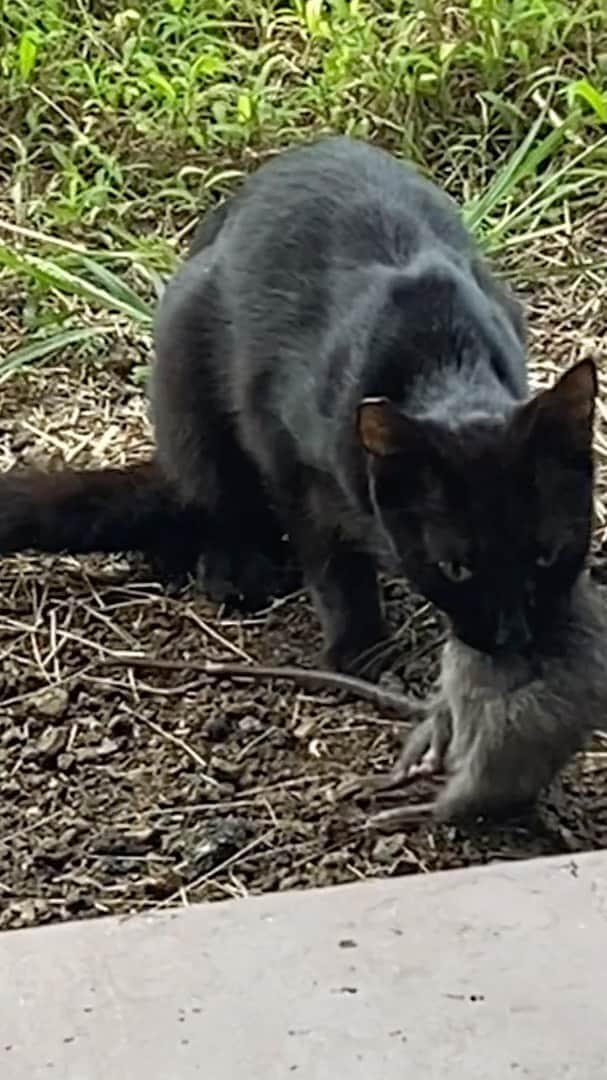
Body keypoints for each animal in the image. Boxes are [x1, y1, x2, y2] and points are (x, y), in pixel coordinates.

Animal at [0, 137, 596, 673]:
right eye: (455, 568)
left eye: (546, 553)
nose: (515, 634)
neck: (441, 358)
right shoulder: (285, 454)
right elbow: (330, 560)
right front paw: (360, 648)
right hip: (186, 374)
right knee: (214, 497)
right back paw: (235, 568)